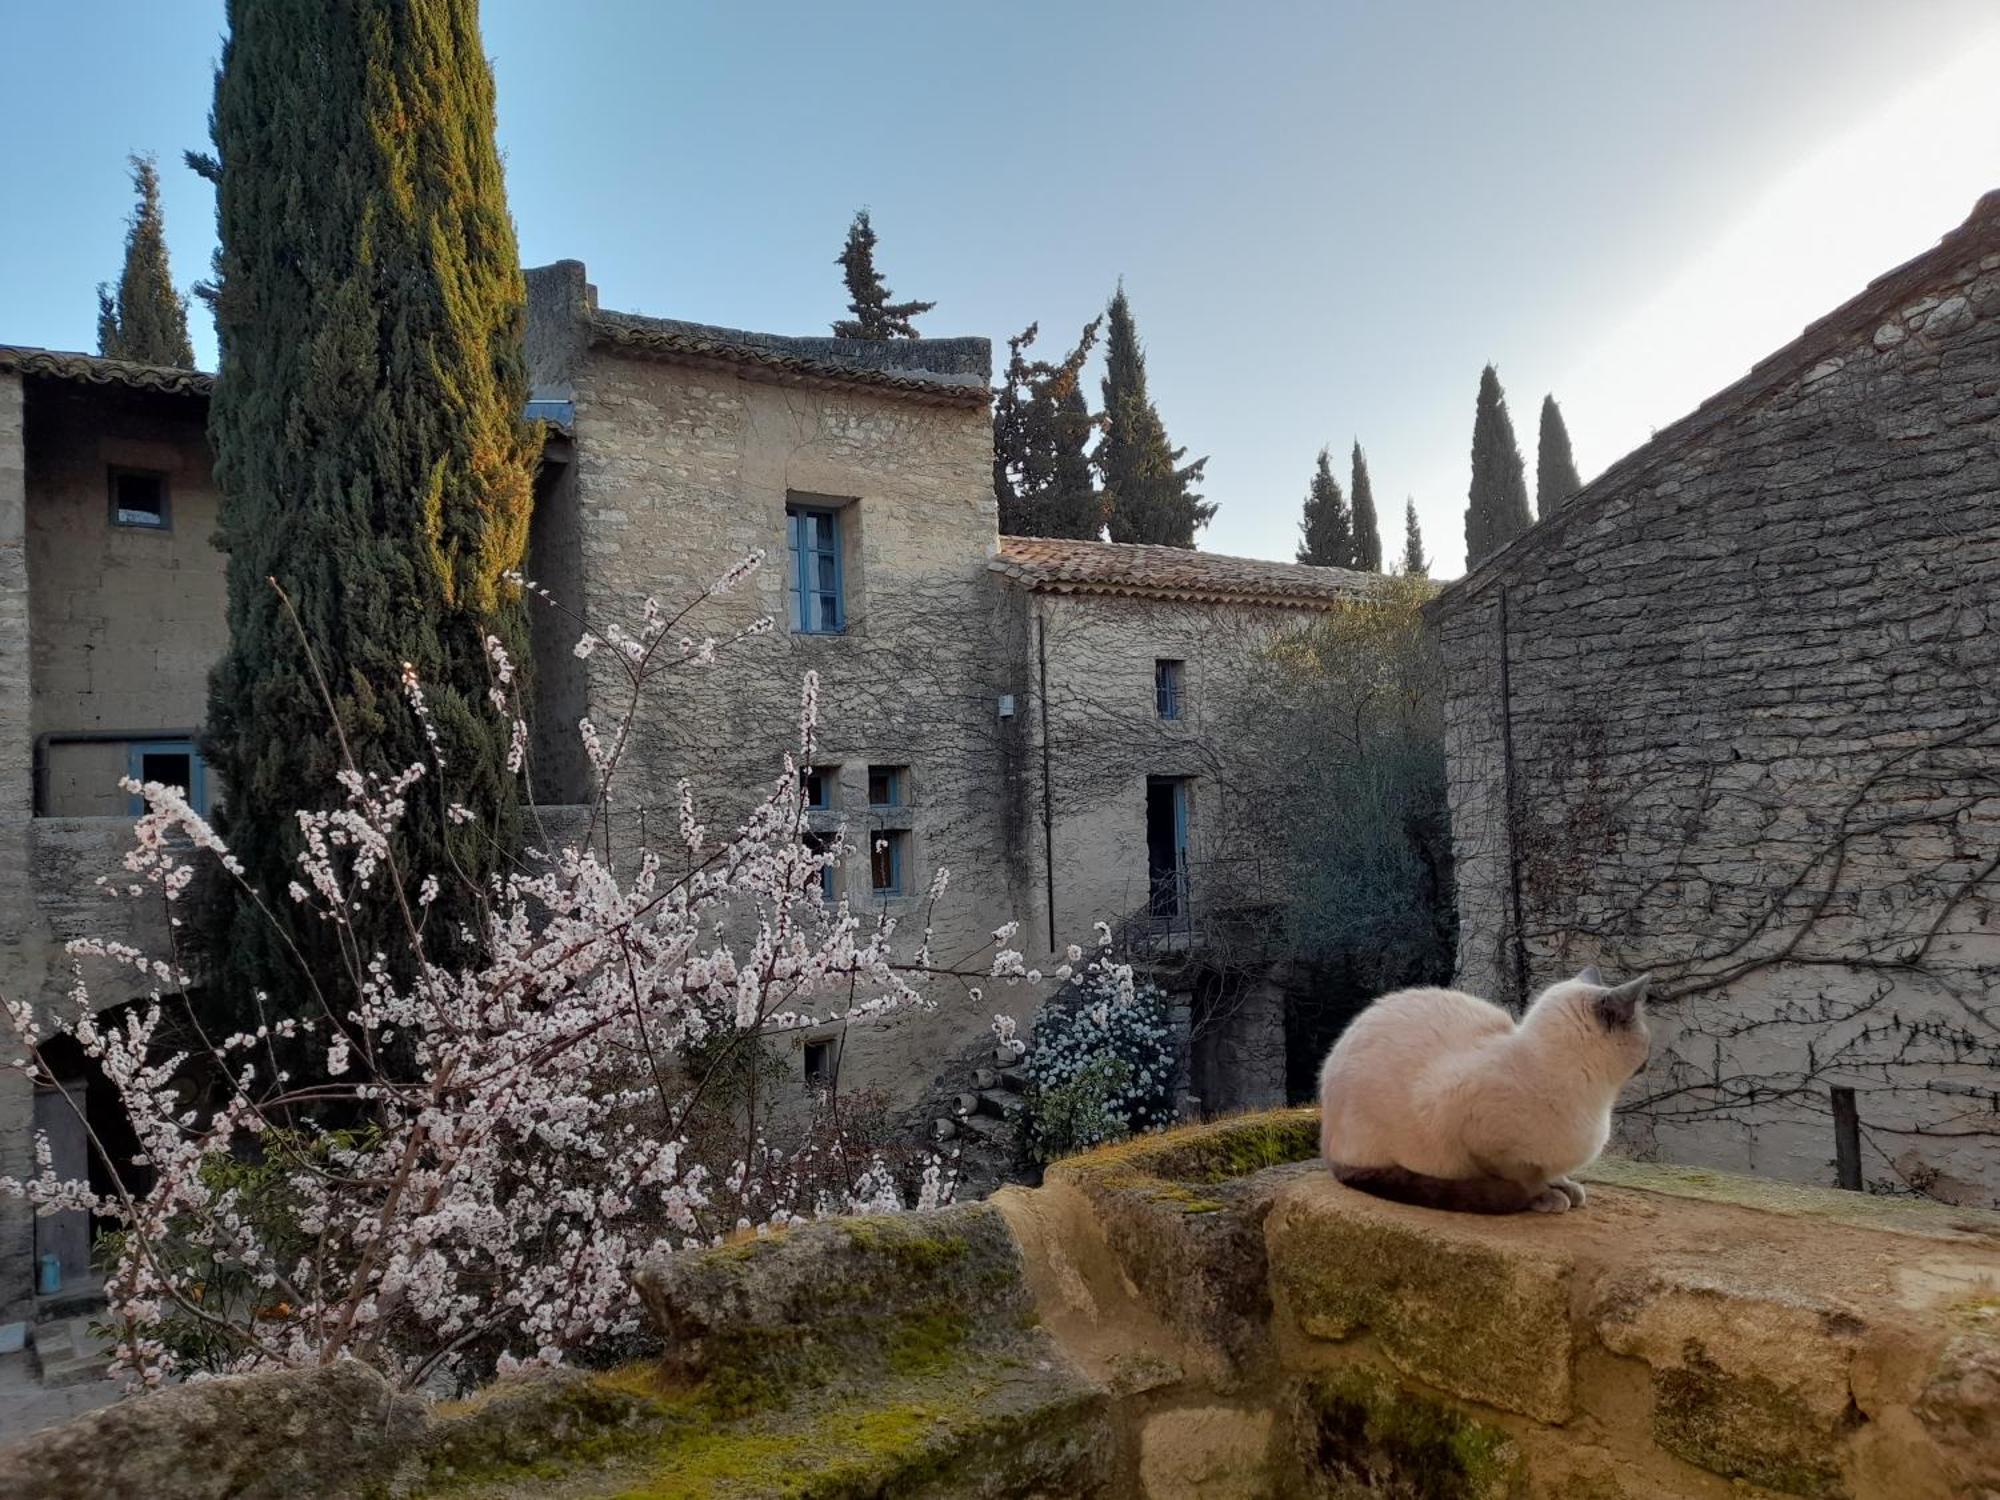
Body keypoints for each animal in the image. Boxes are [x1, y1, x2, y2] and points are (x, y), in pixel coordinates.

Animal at [1312, 968, 1656, 1216]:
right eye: (1646, 1037)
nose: (1651, 1059)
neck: (1597, 1102)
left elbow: (1549, 1171)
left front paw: (1565, 1187)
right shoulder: (1474, 1137)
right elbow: (1524, 1177)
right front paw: (1545, 1196)